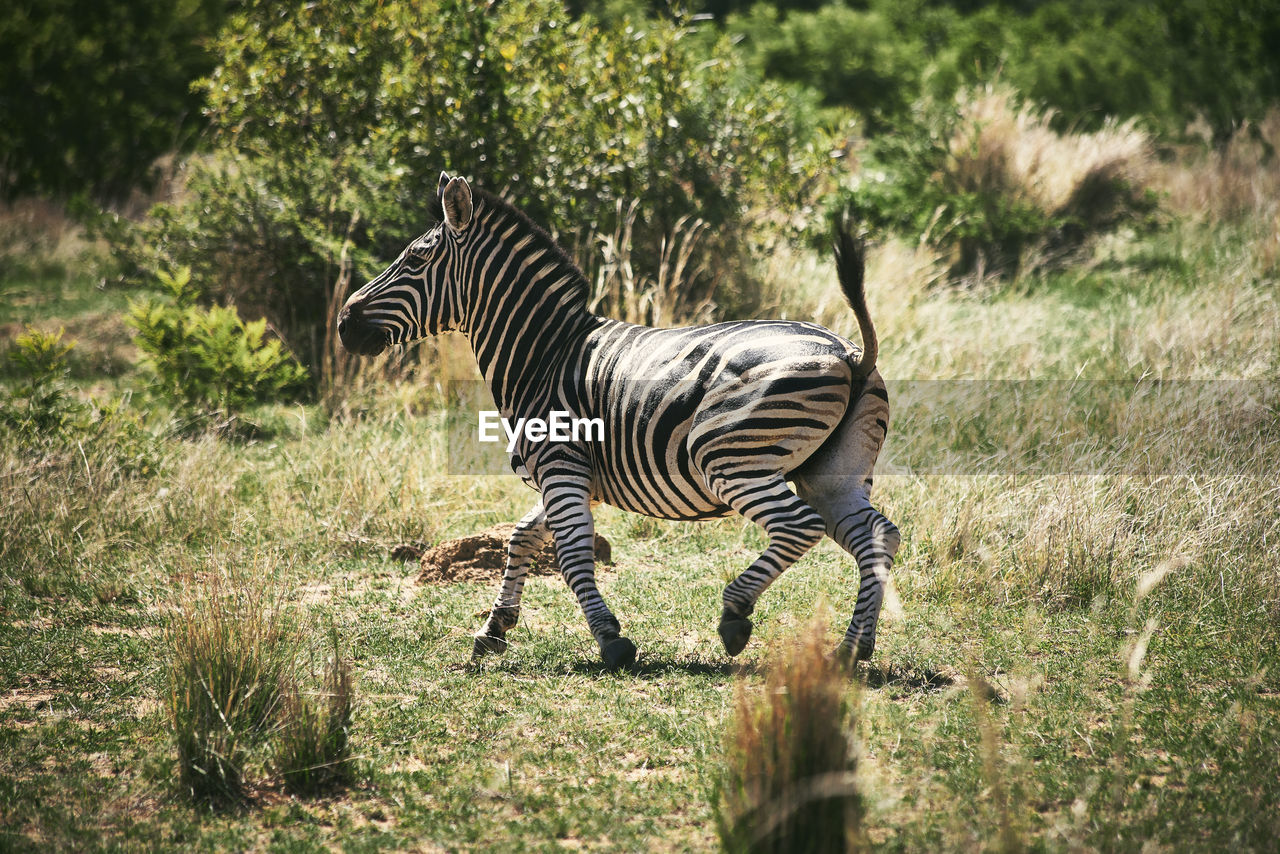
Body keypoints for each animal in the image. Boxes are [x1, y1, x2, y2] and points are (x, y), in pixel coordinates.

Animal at [340, 171, 901, 665]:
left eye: (415, 260)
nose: (344, 323)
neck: (541, 355)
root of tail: (850, 353)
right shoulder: (570, 474)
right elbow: (521, 538)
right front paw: (493, 629)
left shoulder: (561, 465)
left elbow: (570, 556)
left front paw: (610, 641)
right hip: (832, 472)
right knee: (878, 536)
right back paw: (852, 648)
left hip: (732, 457)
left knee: (799, 526)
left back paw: (735, 613)